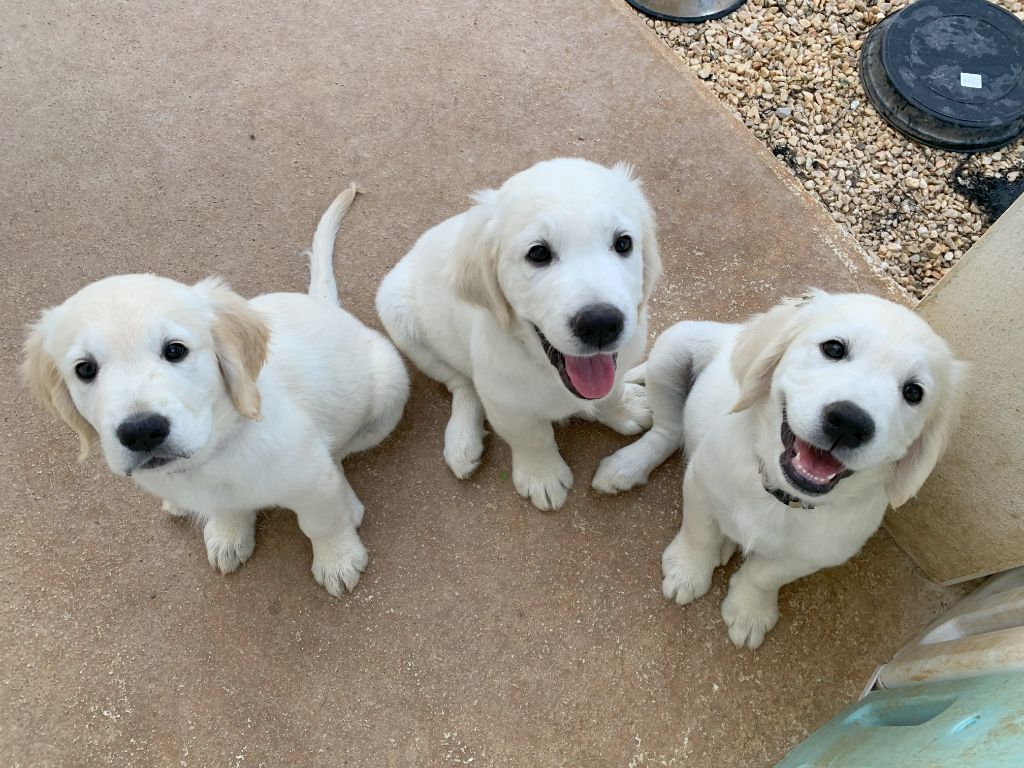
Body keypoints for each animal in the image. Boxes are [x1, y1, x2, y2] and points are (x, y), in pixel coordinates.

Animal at [24, 189, 407, 598]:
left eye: (175, 350)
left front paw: (337, 558)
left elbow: (320, 521)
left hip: (389, 390)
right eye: (84, 369)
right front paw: (229, 532)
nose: (142, 432)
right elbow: (225, 507)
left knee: (342, 450)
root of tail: (323, 304)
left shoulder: (311, 479)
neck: (213, 452)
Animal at [593, 292, 966, 651]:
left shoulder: (817, 553)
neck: (780, 495)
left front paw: (749, 611)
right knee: (668, 430)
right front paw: (687, 571)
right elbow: (700, 533)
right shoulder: (700, 484)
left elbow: (764, 575)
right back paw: (627, 465)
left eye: (914, 392)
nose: (849, 422)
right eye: (834, 348)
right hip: (675, 345)